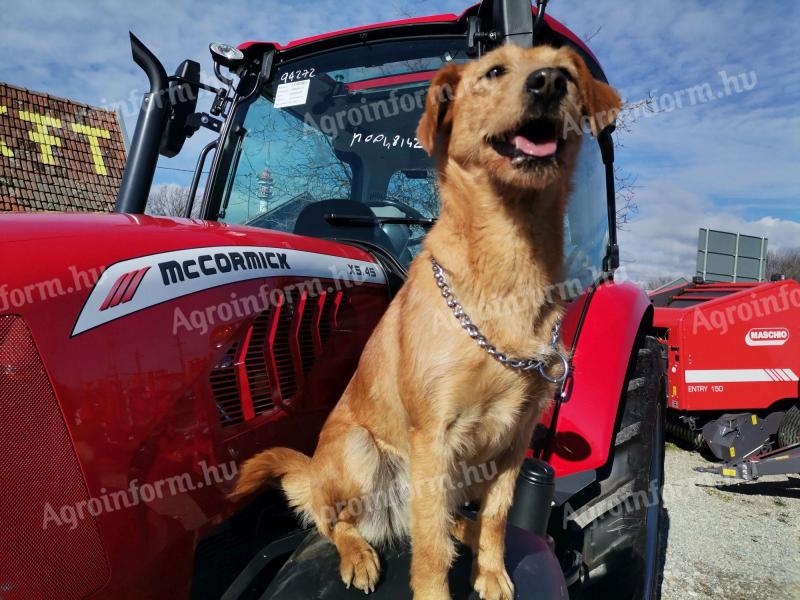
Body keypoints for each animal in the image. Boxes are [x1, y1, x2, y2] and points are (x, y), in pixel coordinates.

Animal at [230, 43, 620, 600]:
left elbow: (498, 516)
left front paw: (492, 572)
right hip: (361, 451)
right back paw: (359, 553)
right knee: (337, 521)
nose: (549, 82)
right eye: (494, 71)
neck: (506, 268)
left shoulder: (515, 438)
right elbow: (431, 548)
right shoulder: (434, 436)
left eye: (567, 72)